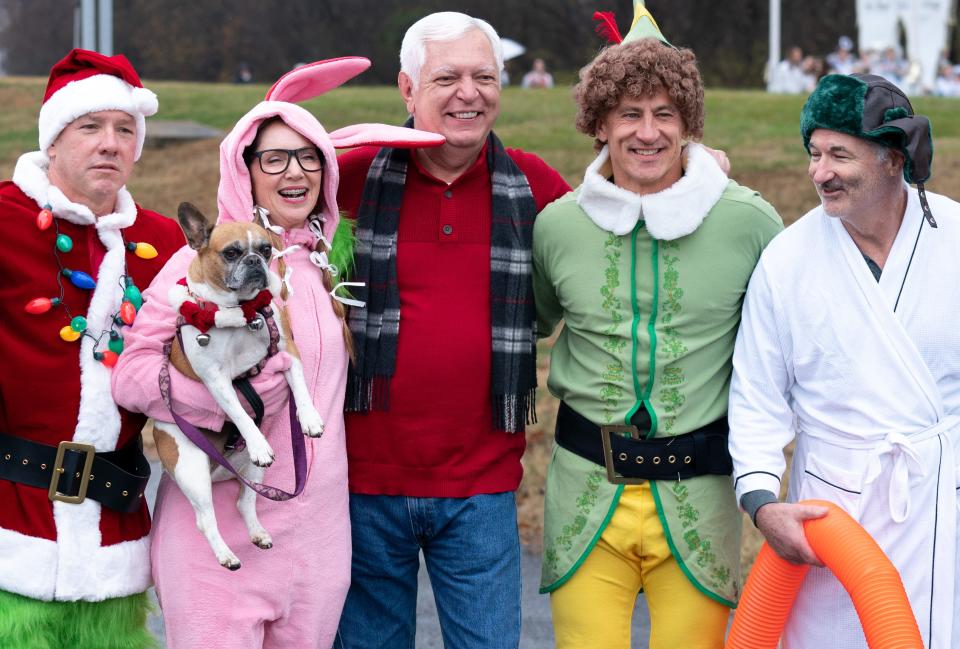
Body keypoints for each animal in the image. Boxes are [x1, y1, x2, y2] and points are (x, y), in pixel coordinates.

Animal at [152, 201, 324, 568]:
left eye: (266, 249)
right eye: (231, 253)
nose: (255, 261)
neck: (242, 314)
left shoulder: (287, 350)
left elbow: (300, 387)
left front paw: (309, 418)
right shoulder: (216, 379)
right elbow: (241, 414)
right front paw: (256, 441)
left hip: (252, 474)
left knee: (245, 501)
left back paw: (257, 533)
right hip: (191, 469)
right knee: (206, 520)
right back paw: (226, 555)